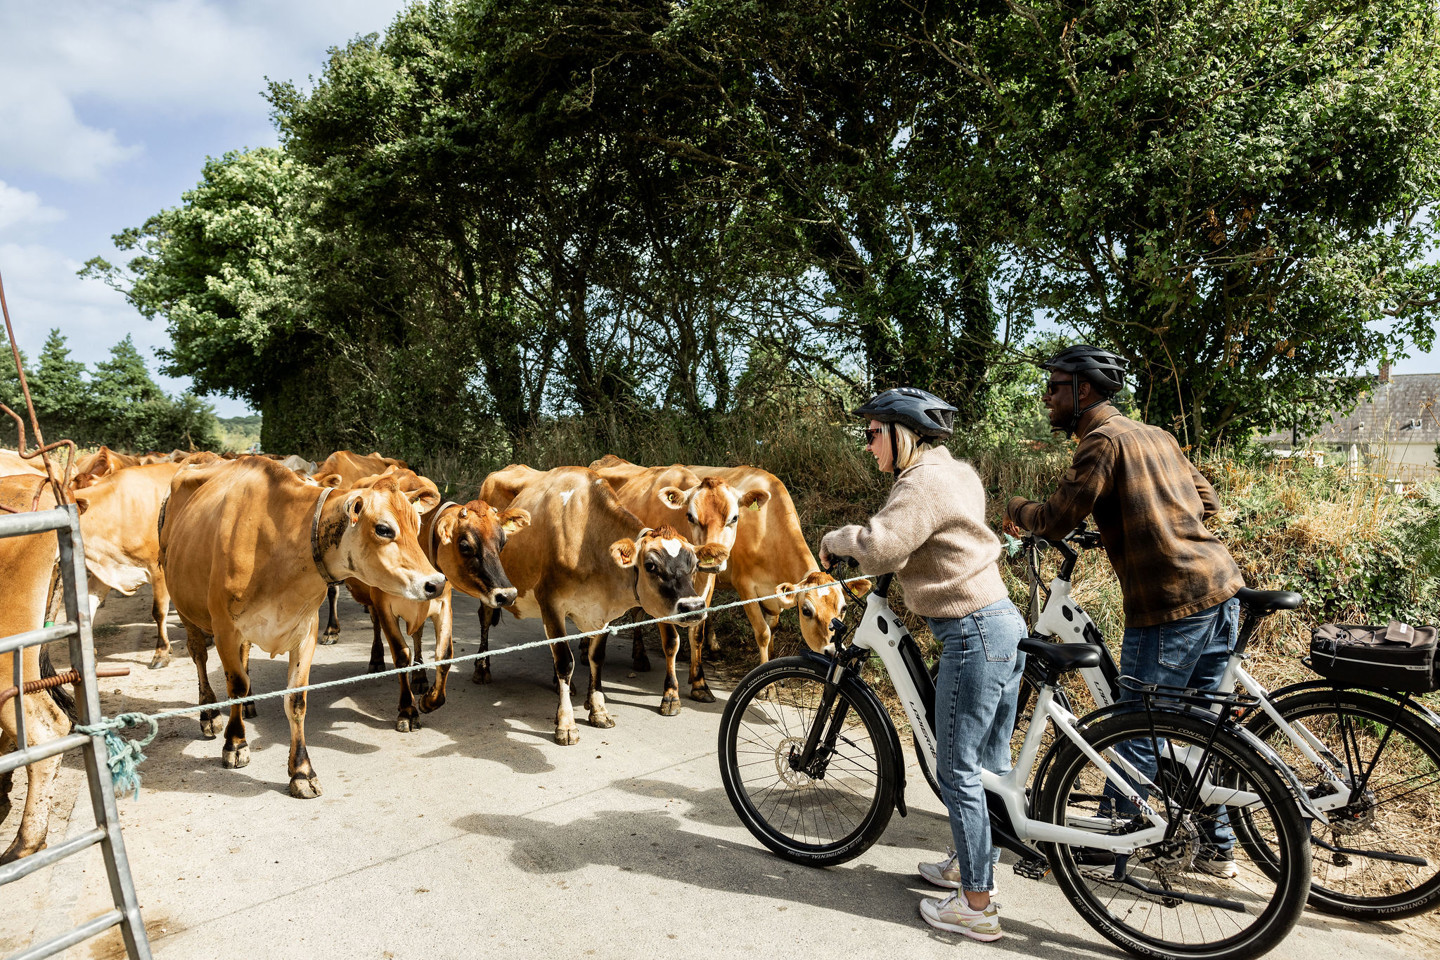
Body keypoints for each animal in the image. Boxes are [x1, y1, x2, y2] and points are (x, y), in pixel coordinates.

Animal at [159, 457, 443, 798]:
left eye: (417, 525)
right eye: (384, 528)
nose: (436, 583)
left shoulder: (305, 630)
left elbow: (295, 700)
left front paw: (301, 771)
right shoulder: (226, 627)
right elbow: (235, 686)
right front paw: (236, 743)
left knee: (242, 661)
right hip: (186, 608)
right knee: (200, 656)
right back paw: (209, 714)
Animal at [345, 487, 530, 732]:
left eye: (503, 543)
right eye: (465, 546)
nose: (507, 594)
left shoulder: (443, 603)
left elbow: (444, 654)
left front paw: (429, 700)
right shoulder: (383, 603)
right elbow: (401, 654)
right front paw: (408, 711)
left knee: (418, 635)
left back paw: (420, 677)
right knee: (376, 625)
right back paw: (376, 660)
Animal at [475, 466, 727, 744]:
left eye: (694, 564)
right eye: (651, 565)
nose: (693, 607)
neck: (587, 540)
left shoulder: (602, 613)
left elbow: (596, 658)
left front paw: (598, 711)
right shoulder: (551, 604)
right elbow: (565, 662)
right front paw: (566, 724)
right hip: (490, 587)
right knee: (484, 619)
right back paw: (482, 669)